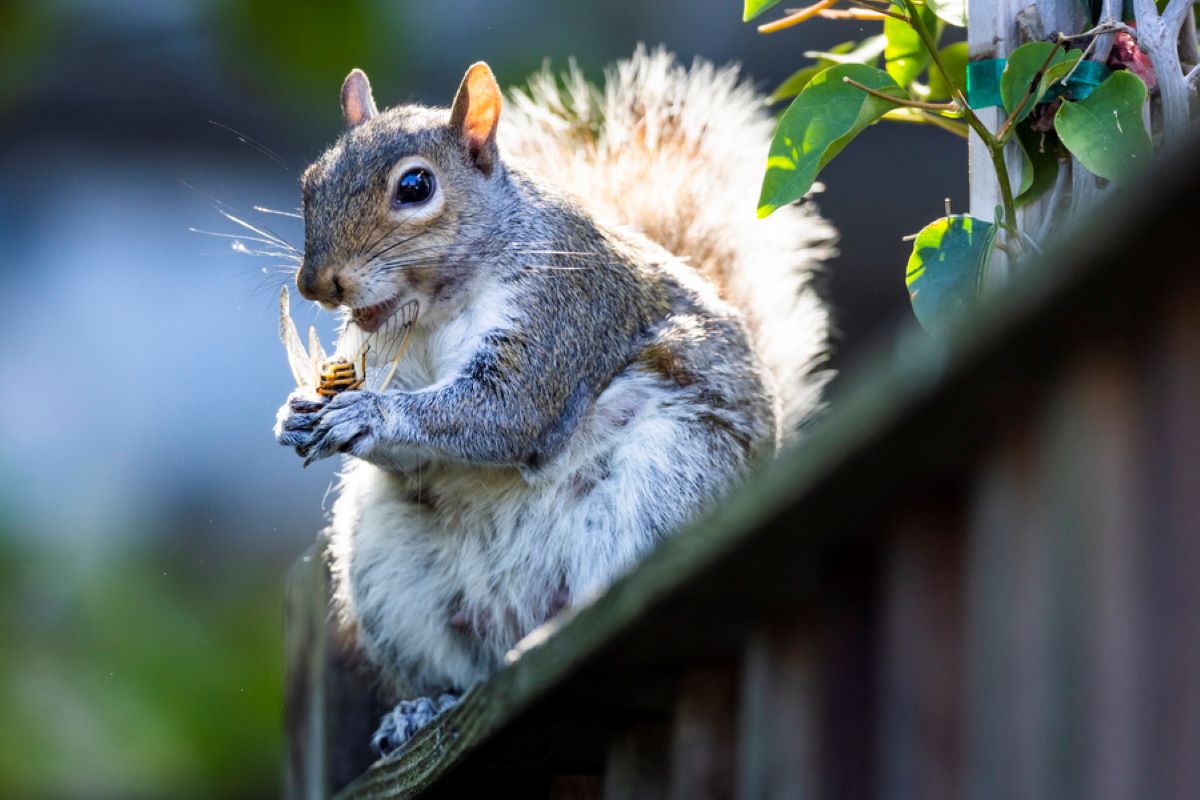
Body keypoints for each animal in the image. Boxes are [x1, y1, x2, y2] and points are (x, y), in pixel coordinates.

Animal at [274, 48, 830, 758]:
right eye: (310, 182)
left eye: (415, 187)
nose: (316, 284)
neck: (434, 307)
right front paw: (297, 414)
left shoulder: (562, 308)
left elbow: (507, 410)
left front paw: (364, 415)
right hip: (392, 572)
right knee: (467, 661)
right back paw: (425, 709)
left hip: (668, 485)